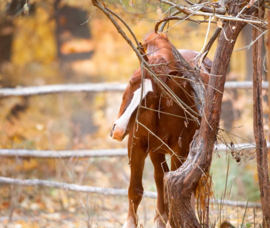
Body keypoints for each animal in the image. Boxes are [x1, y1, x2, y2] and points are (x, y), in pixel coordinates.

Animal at [110, 33, 211, 228]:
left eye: (153, 96)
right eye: (131, 81)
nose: (119, 129)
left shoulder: (179, 151)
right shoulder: (136, 146)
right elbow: (135, 189)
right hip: (156, 150)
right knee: (160, 178)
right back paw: (160, 218)